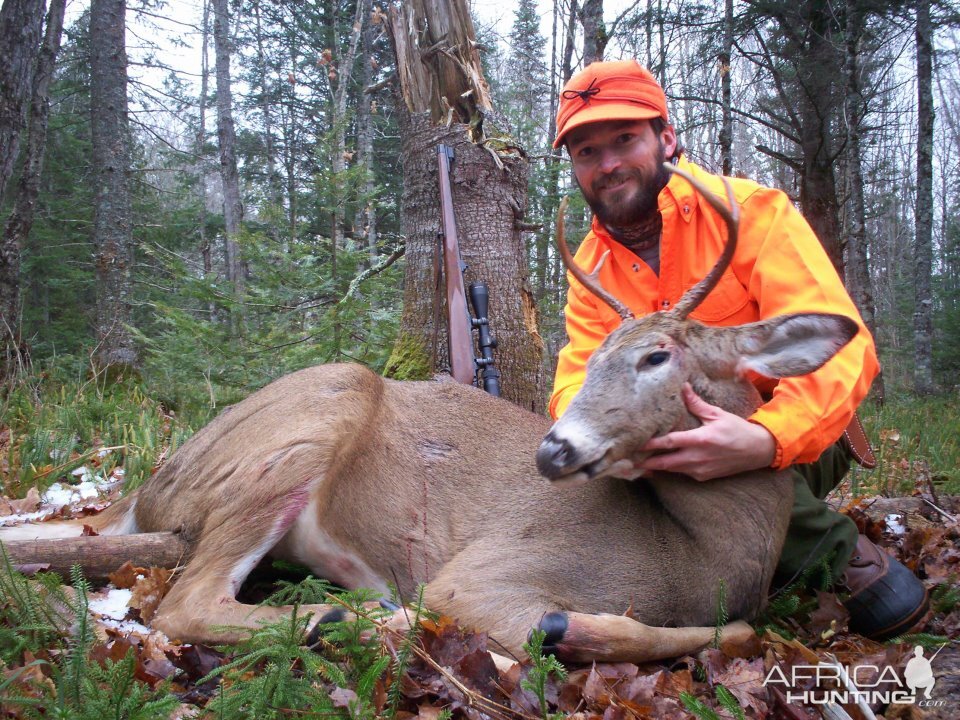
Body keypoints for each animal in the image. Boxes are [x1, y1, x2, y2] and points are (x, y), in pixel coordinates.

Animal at [0, 165, 856, 664]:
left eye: (657, 357)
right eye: (596, 359)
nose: (552, 450)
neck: (697, 557)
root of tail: (148, 486)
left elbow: (733, 628)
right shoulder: (484, 576)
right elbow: (591, 629)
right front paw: (561, 628)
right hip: (320, 414)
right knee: (182, 604)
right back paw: (350, 618)